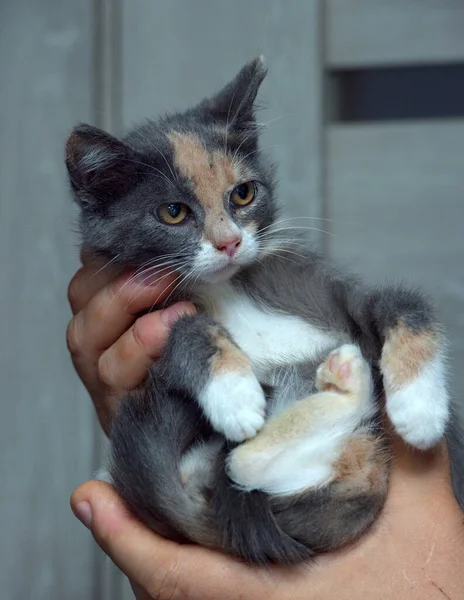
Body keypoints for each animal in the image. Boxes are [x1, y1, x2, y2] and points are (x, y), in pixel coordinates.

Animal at [66, 56, 456, 564]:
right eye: (172, 212)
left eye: (243, 194)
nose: (229, 242)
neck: (226, 287)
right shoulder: (149, 317)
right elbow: (184, 332)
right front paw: (234, 395)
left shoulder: (325, 292)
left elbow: (399, 304)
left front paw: (421, 408)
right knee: (242, 463)